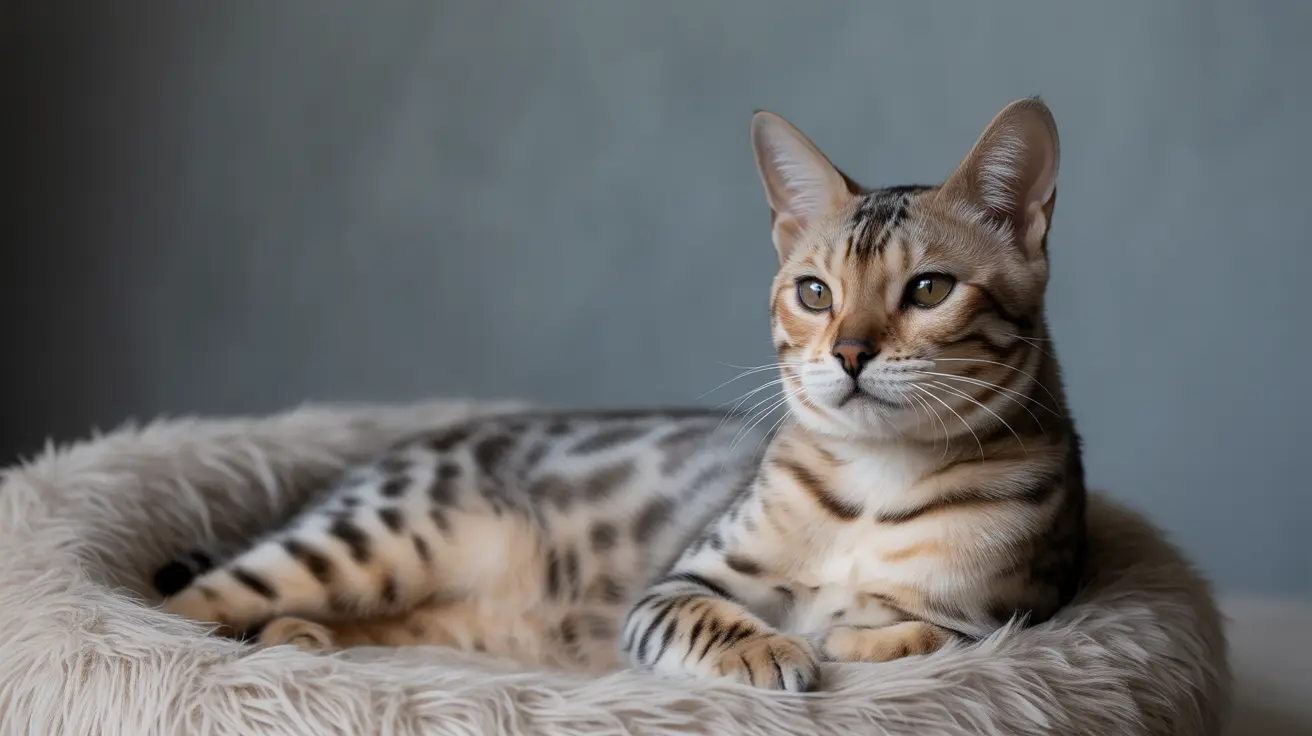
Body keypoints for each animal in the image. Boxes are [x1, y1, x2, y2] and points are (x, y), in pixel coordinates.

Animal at [157, 97, 1086, 692]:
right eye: (815, 292)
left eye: (928, 290)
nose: (850, 354)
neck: (873, 485)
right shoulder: (678, 586)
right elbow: (719, 620)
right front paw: (778, 651)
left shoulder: (1014, 612)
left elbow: (920, 631)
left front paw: (844, 634)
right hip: (372, 536)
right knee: (179, 604)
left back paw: (301, 639)